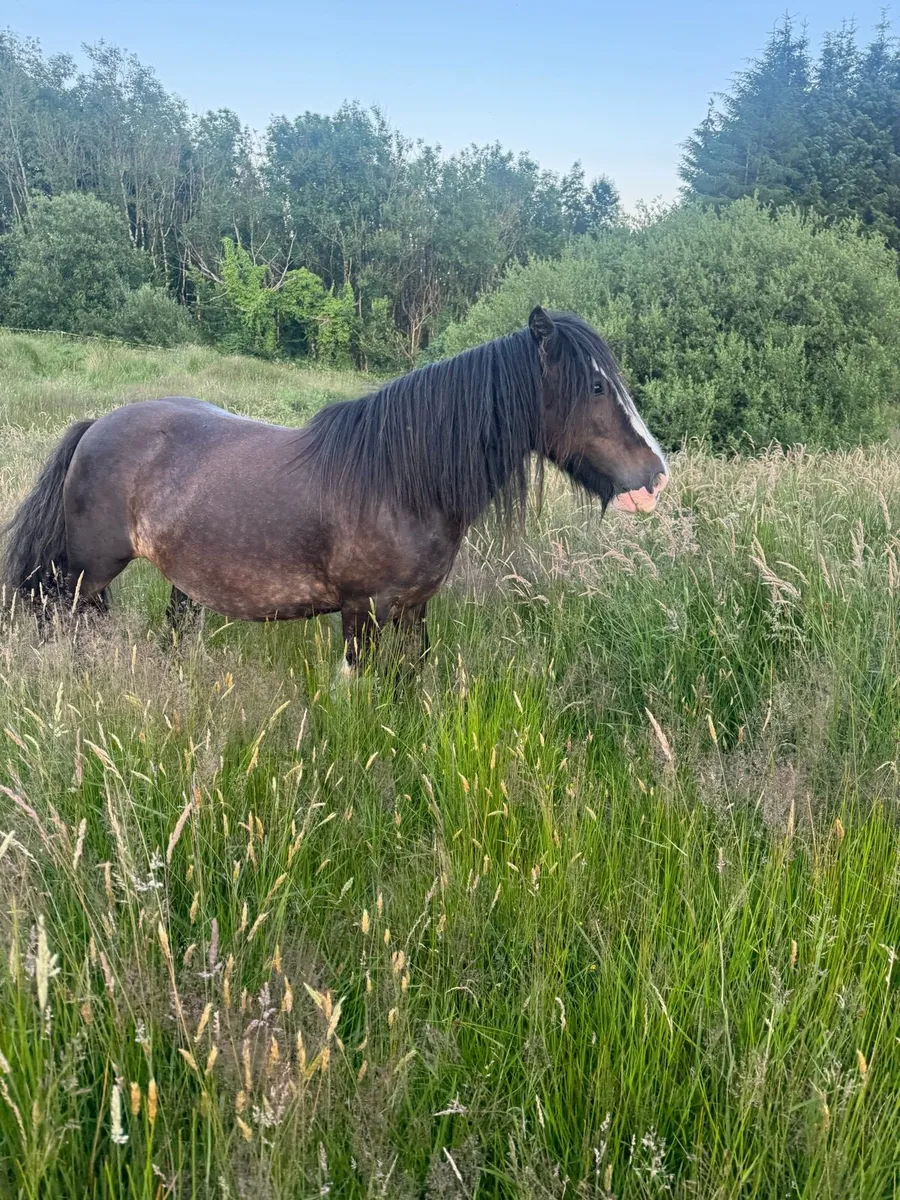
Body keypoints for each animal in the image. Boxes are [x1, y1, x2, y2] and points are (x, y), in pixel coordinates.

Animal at [1, 308, 668, 670]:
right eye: (597, 388)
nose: (656, 473)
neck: (401, 481)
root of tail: (96, 425)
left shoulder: (413, 610)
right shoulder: (362, 612)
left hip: (176, 584)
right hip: (83, 575)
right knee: (59, 620)